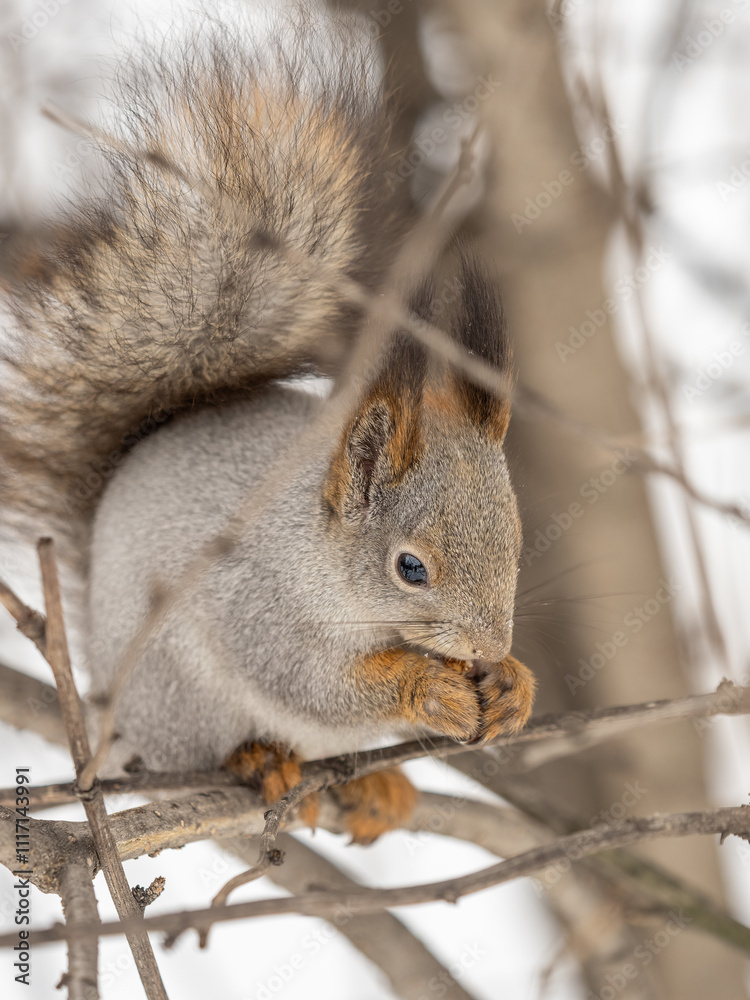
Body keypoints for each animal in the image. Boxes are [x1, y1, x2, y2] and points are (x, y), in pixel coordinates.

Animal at [0, 13, 536, 844]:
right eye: (410, 568)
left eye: (518, 543)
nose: (489, 646)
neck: (318, 554)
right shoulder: (258, 604)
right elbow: (312, 683)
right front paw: (427, 688)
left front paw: (513, 684)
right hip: (180, 697)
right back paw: (261, 762)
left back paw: (379, 788)